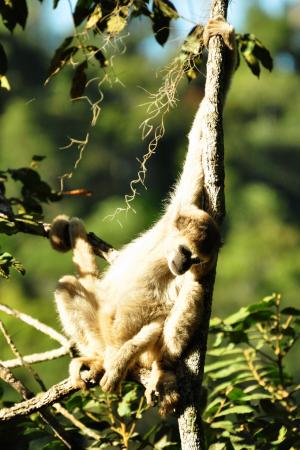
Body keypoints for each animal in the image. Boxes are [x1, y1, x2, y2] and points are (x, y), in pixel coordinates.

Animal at [50, 18, 236, 418]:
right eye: (186, 251)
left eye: (195, 258)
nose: (184, 264)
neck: (166, 256)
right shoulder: (179, 210)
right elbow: (199, 141)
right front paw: (224, 44)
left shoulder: (201, 268)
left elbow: (183, 302)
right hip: (100, 331)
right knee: (68, 286)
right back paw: (98, 358)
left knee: (177, 310)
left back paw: (147, 365)